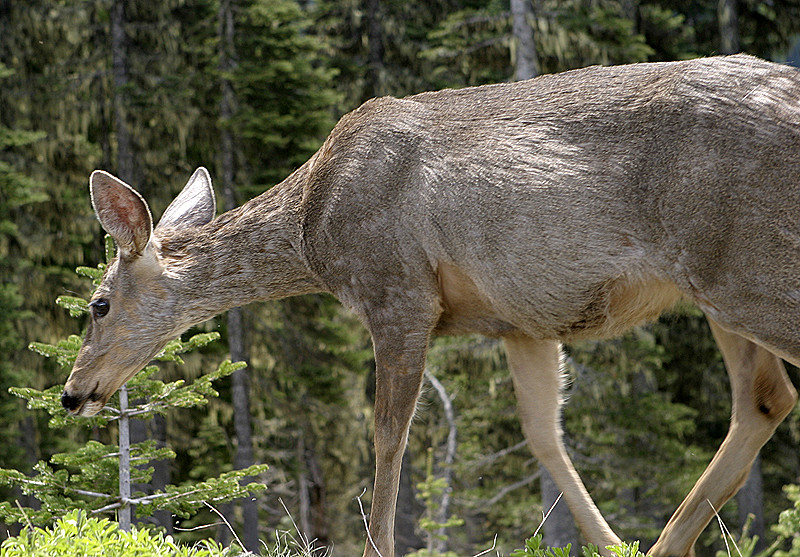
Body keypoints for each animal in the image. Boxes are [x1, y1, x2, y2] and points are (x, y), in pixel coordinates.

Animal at [61, 53, 800, 556]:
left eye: (97, 304)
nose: (72, 394)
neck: (310, 227)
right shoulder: (523, 318)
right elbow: (543, 432)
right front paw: (612, 543)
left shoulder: (398, 289)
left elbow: (389, 434)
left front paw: (380, 548)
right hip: (717, 284)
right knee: (764, 399)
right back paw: (666, 543)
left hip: (743, 267)